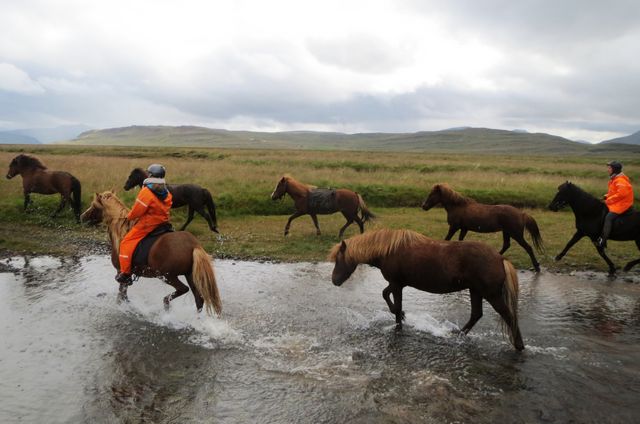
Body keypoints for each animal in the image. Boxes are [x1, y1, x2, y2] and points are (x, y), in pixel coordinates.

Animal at [80, 190, 222, 315]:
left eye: (94, 205)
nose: (82, 217)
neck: (122, 232)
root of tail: (194, 245)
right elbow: (123, 296)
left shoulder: (121, 272)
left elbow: (121, 296)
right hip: (190, 275)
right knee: (199, 299)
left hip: (167, 275)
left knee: (183, 289)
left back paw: (166, 303)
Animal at [329, 229, 524, 350]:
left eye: (339, 259)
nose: (334, 281)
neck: (389, 250)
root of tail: (500, 258)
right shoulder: (397, 284)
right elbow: (386, 295)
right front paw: (401, 317)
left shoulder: (397, 284)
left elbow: (393, 303)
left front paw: (399, 326)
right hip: (475, 291)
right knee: (476, 315)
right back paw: (456, 335)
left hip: (491, 295)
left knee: (509, 316)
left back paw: (519, 346)